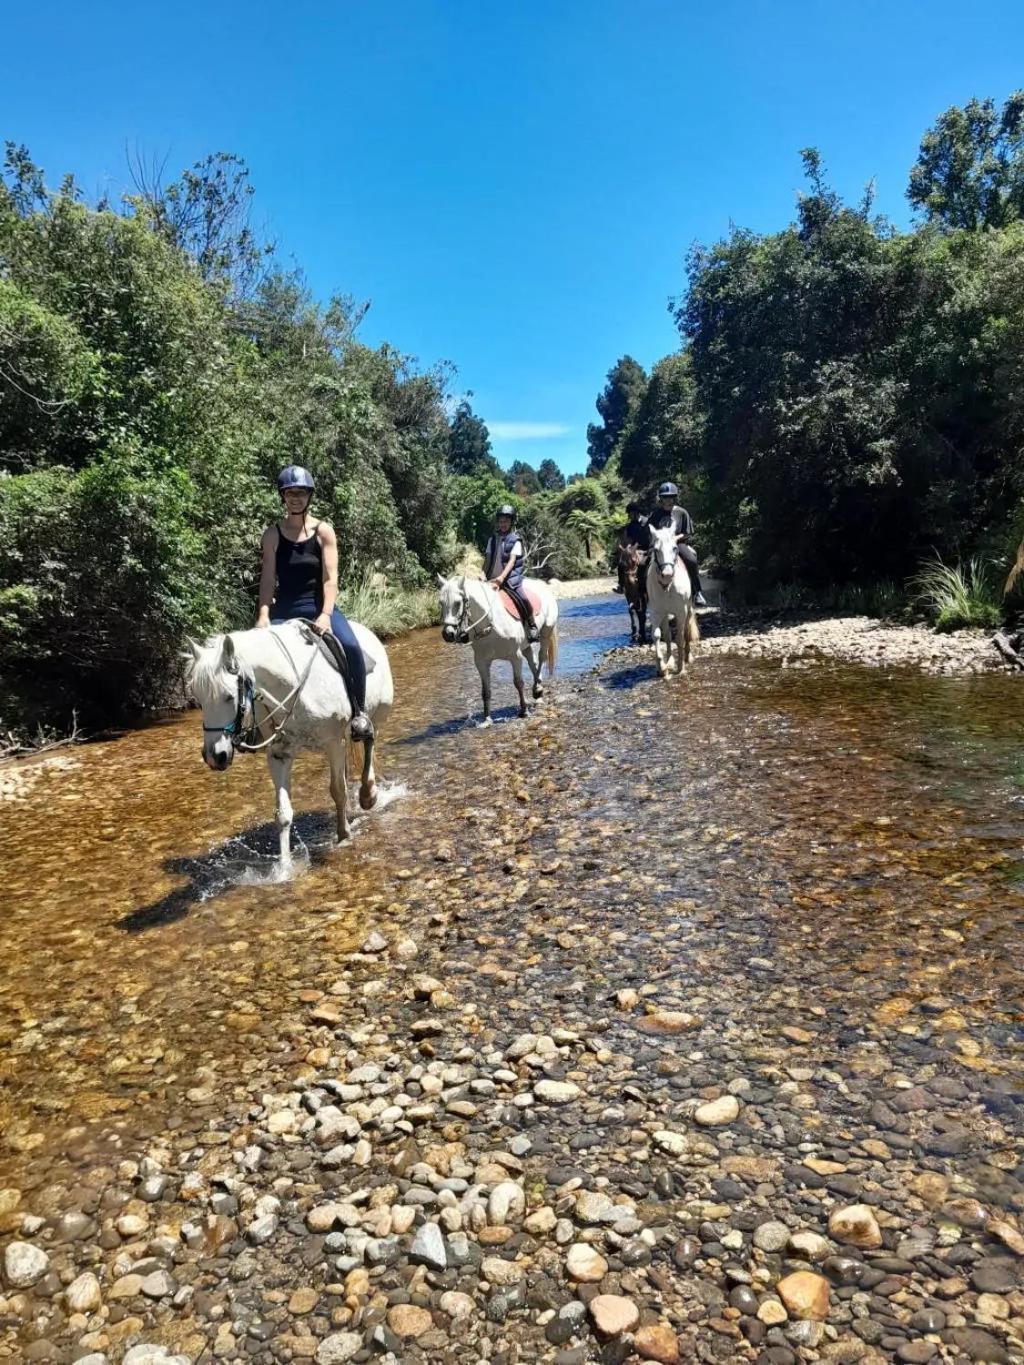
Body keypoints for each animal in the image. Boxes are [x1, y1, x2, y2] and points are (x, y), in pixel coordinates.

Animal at [184, 622, 393, 862]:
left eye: (228, 696)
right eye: (199, 699)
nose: (214, 756)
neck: (293, 688)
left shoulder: (334, 743)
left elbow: (338, 791)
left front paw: (343, 836)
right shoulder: (279, 753)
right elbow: (283, 814)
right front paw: (284, 865)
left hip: (375, 717)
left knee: (369, 744)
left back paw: (368, 795)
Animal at [436, 576, 557, 726]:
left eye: (458, 603)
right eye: (441, 603)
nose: (448, 634)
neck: (490, 624)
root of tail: (543, 585)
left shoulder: (515, 657)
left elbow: (518, 683)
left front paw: (523, 711)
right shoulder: (481, 662)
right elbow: (485, 691)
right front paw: (487, 719)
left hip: (546, 631)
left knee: (541, 658)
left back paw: (537, 689)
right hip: (525, 644)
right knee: (532, 660)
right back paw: (537, 688)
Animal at [649, 521, 699, 677]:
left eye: (674, 548)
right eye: (656, 549)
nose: (667, 574)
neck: (668, 586)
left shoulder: (681, 611)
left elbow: (680, 637)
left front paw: (681, 667)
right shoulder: (656, 612)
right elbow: (657, 635)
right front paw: (662, 667)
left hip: (688, 608)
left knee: (686, 631)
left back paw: (688, 657)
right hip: (665, 614)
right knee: (667, 634)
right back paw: (669, 660)